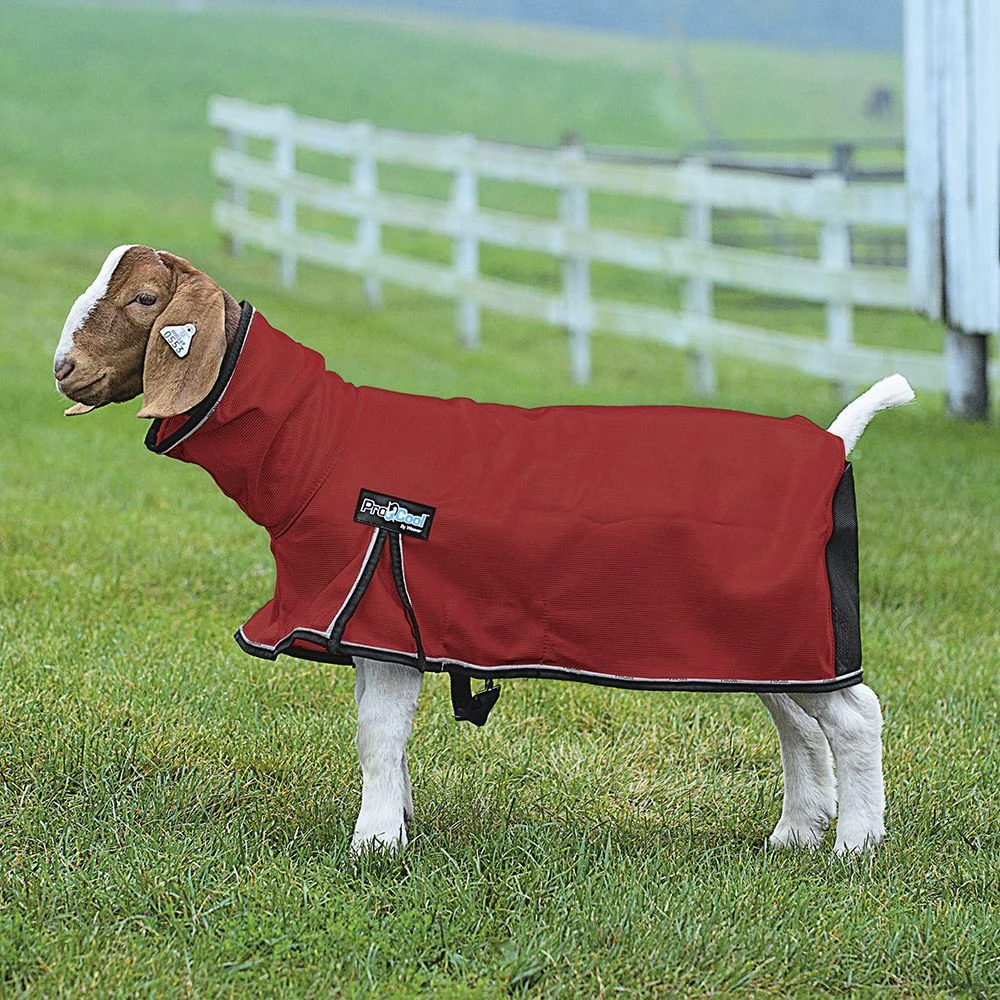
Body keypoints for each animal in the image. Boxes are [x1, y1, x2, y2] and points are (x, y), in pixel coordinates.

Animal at [54, 245, 914, 855]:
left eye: (143, 300)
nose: (64, 368)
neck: (319, 444)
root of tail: (832, 440)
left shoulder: (378, 604)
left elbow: (379, 736)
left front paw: (373, 845)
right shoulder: (371, 626)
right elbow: (380, 734)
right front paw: (397, 824)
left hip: (796, 624)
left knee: (855, 716)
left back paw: (856, 844)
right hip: (770, 635)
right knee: (799, 723)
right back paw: (795, 834)